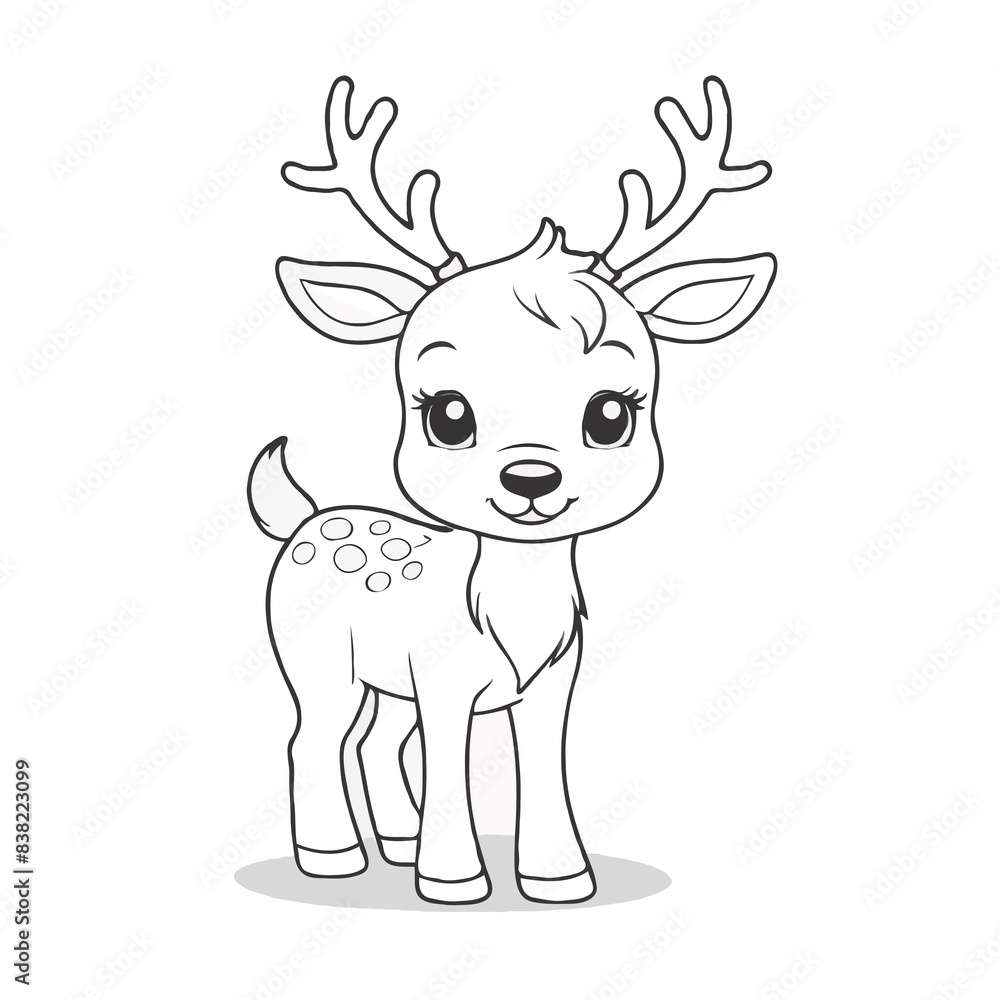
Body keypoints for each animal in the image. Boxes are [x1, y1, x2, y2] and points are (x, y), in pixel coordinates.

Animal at [248, 75, 775, 905]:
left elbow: (545, 770)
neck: (516, 614)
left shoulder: (550, 687)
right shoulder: (443, 685)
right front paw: (454, 882)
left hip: (383, 680)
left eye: (611, 413)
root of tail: (306, 516)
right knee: (314, 739)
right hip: (316, 660)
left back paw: (393, 844)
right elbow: (450, 769)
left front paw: (559, 879)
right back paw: (333, 858)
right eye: (448, 412)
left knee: (375, 741)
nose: (531, 477)